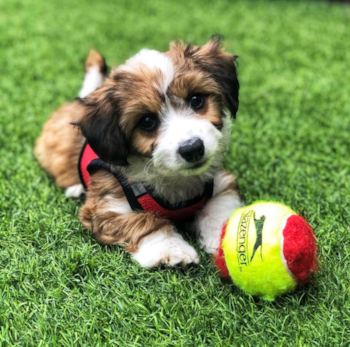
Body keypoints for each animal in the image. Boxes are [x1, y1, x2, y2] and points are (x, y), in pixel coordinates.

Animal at [35, 38, 243, 268]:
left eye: (196, 100)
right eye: (147, 121)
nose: (192, 148)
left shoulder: (221, 186)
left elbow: (220, 212)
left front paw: (229, 242)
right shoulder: (108, 207)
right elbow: (144, 221)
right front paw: (173, 249)